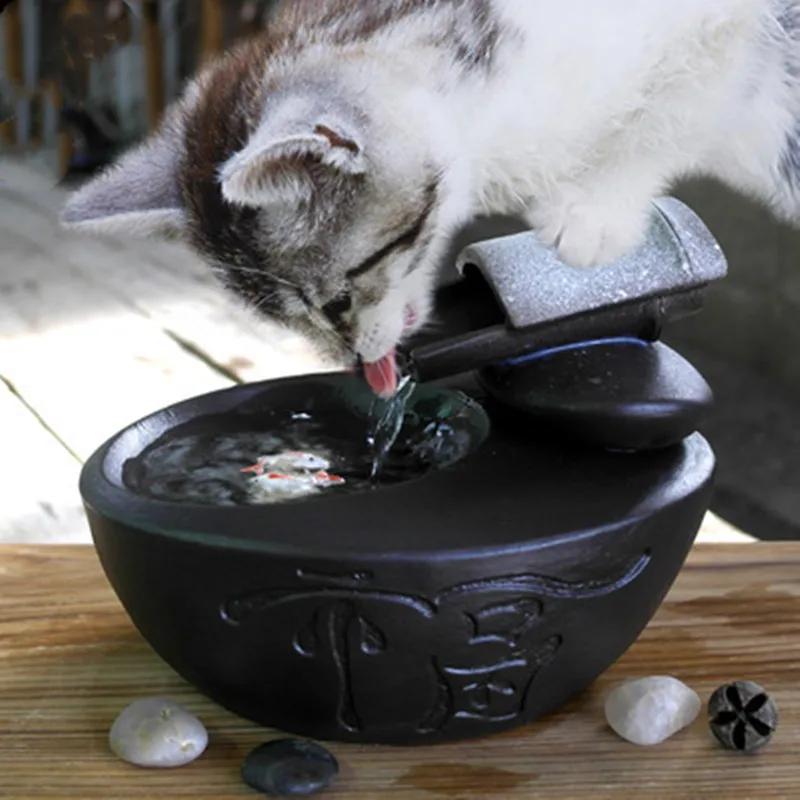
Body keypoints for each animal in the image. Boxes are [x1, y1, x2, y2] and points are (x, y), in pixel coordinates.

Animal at [64, 0, 800, 396]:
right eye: (287, 323)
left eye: (336, 303)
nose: (358, 366)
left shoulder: (727, 24)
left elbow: (682, 98)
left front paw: (592, 212)